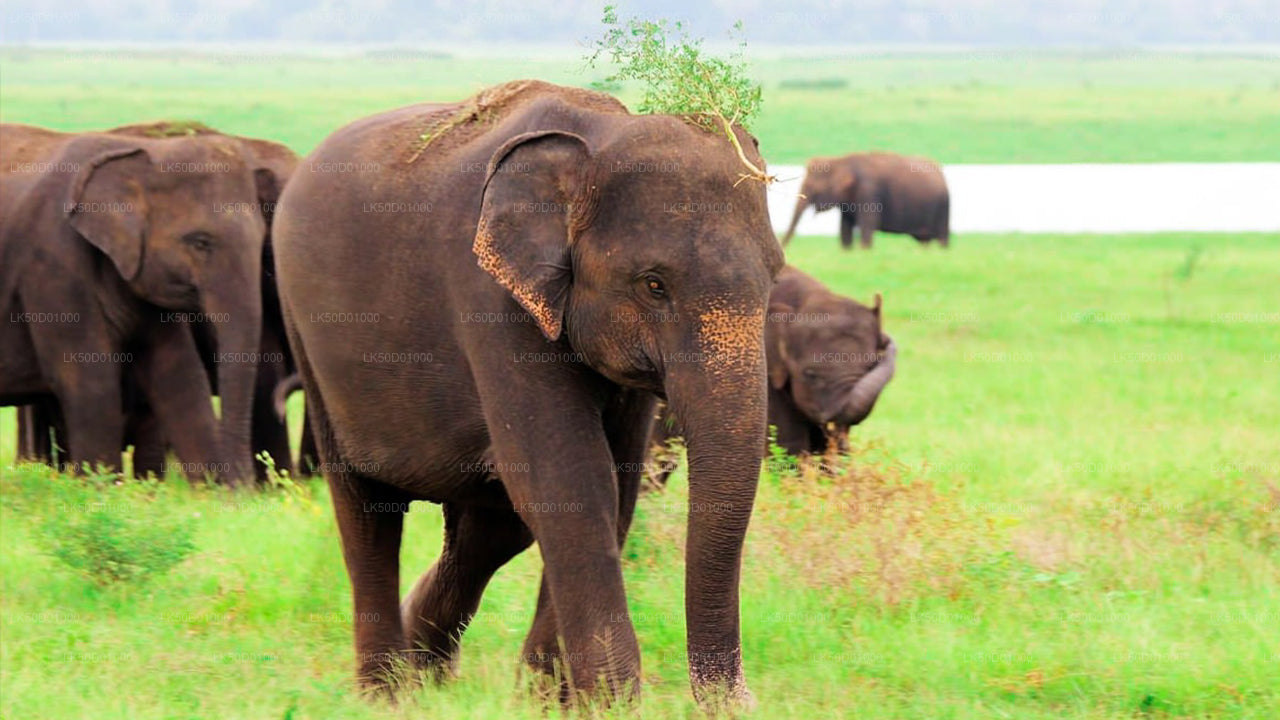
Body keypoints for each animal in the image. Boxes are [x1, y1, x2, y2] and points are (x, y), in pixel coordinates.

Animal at [272, 80, 783, 707]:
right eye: (654, 285)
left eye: (775, 277)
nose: (738, 705)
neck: (596, 138)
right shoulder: (491, 299)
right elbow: (570, 479)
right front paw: (609, 702)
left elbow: (615, 483)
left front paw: (551, 702)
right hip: (306, 334)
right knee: (367, 510)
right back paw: (388, 693)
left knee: (489, 526)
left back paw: (428, 671)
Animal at [780, 152, 949, 249]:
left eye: (812, 188)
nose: (785, 247)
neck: (841, 161)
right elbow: (845, 227)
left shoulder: (869, 192)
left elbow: (867, 223)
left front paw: (865, 250)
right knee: (925, 241)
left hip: (943, 206)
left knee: (942, 237)